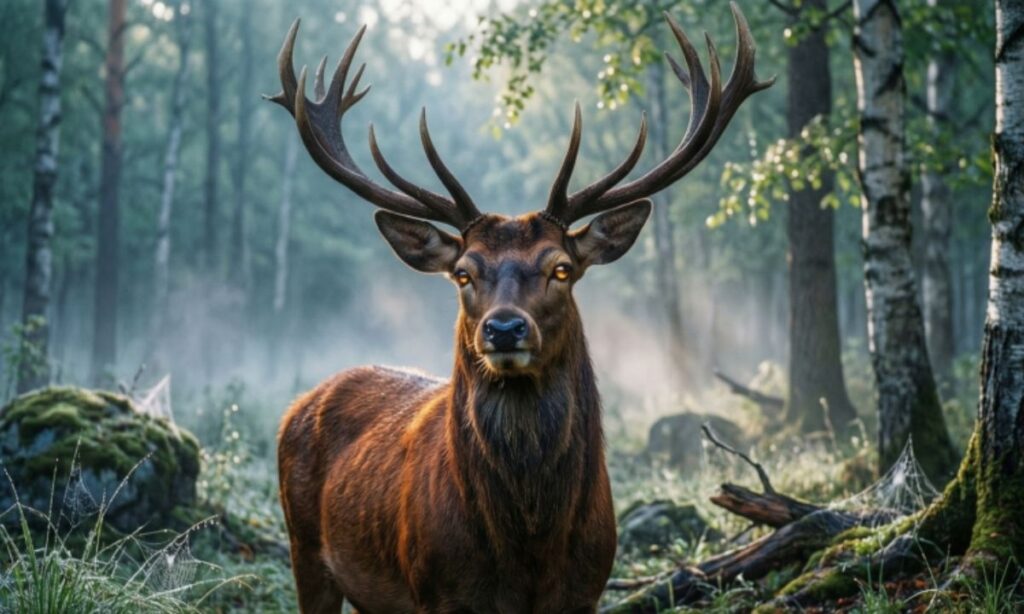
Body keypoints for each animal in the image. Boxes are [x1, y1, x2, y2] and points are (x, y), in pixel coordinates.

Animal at [270, 4, 771, 612]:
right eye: (464, 273)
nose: (504, 328)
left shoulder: (586, 589)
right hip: (304, 548)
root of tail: (297, 405)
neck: (528, 550)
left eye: (562, 268)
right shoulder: (436, 592)